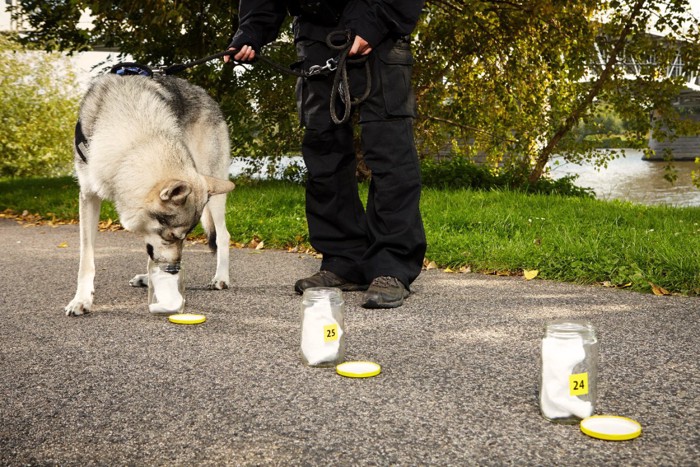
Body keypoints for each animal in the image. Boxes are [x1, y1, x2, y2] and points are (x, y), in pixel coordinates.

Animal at [65, 70, 235, 318]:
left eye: (184, 237)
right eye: (172, 236)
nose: (174, 270)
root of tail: (207, 95)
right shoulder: (88, 196)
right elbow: (86, 259)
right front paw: (81, 300)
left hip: (214, 191)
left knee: (223, 235)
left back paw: (221, 278)